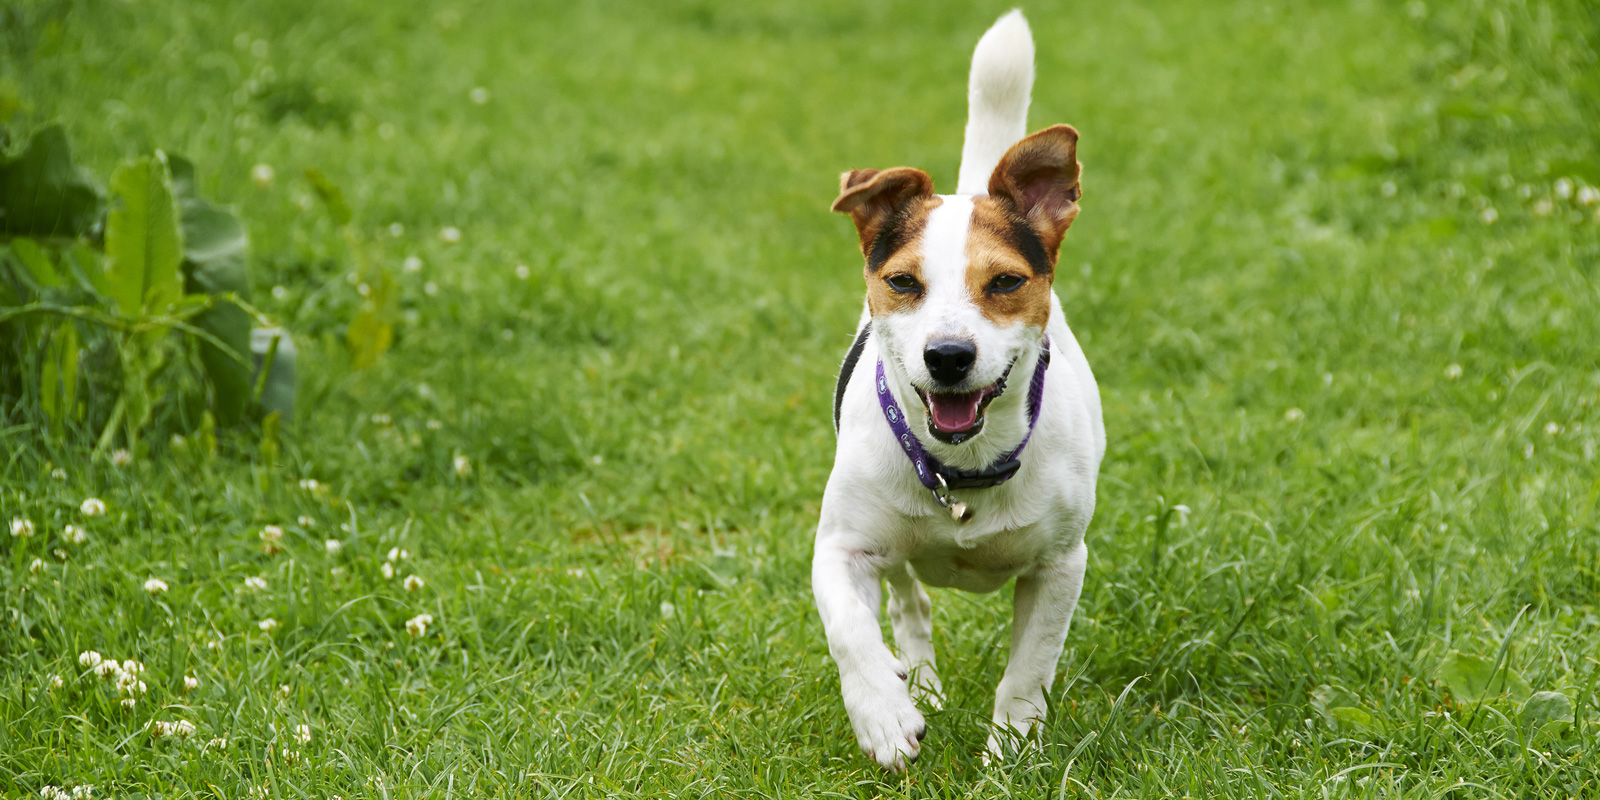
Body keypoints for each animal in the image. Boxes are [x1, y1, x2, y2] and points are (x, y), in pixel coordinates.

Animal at [812, 7, 1100, 768]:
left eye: (1004, 281)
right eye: (902, 281)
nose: (947, 356)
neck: (962, 470)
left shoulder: (1060, 565)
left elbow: (1028, 668)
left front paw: (1011, 753)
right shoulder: (840, 547)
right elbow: (849, 629)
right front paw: (883, 714)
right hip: (892, 550)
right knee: (908, 602)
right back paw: (915, 684)